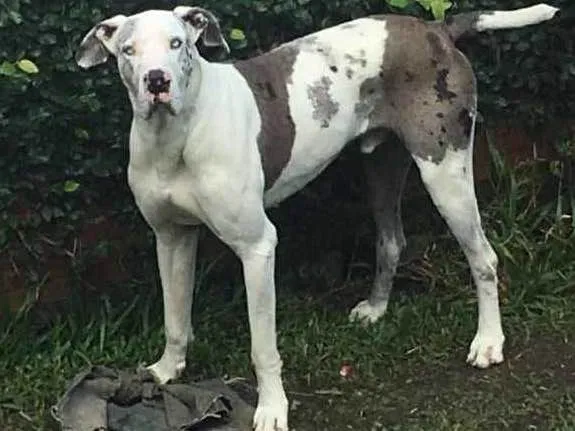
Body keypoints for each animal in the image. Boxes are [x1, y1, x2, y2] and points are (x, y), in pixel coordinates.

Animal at [75, 4, 560, 431]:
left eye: (178, 43)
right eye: (128, 50)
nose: (157, 80)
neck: (177, 134)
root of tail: (437, 29)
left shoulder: (257, 248)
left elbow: (263, 348)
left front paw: (272, 409)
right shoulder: (171, 237)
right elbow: (175, 317)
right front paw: (166, 371)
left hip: (445, 172)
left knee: (484, 258)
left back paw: (489, 341)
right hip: (382, 167)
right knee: (392, 241)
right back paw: (376, 308)